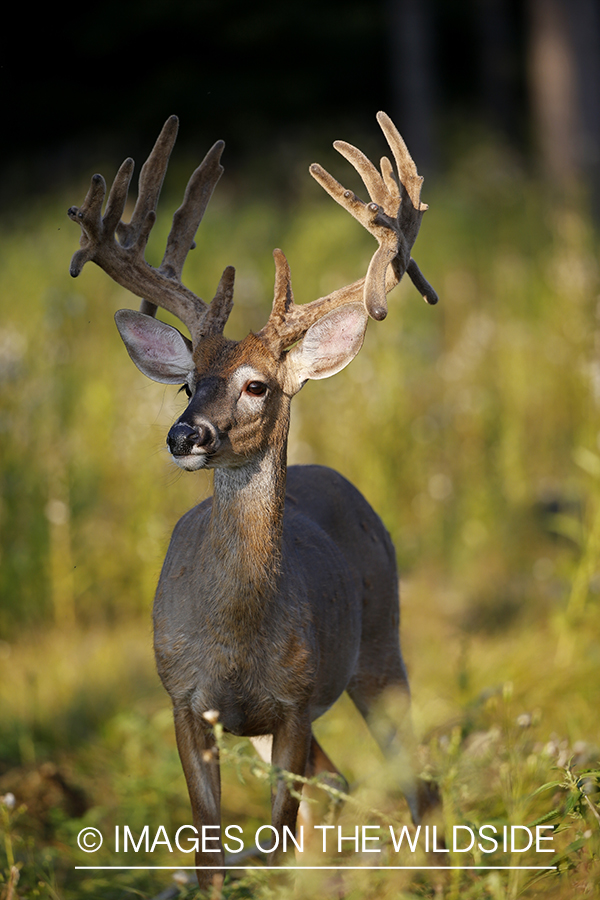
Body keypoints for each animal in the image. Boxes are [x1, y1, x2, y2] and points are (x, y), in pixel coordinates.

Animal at [67, 110, 440, 884]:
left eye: (258, 385)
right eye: (186, 383)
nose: (184, 434)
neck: (237, 642)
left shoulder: (294, 701)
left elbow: (278, 829)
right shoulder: (185, 698)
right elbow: (211, 848)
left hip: (380, 643)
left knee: (417, 783)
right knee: (342, 782)